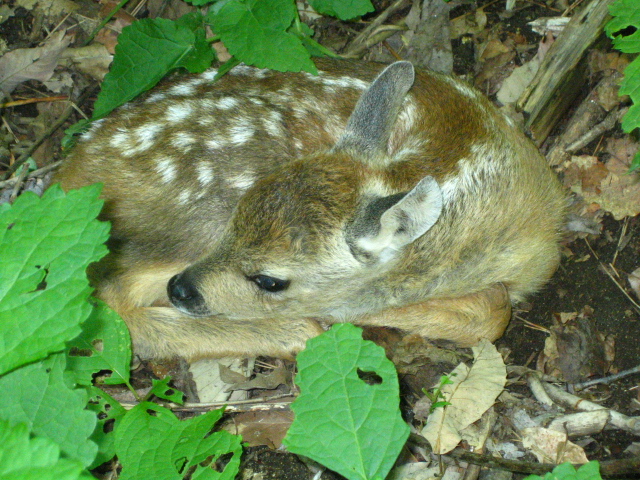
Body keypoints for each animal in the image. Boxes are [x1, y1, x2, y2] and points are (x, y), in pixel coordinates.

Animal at [56, 59, 564, 360]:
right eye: (239, 216)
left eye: (270, 280)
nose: (180, 290)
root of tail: (69, 179)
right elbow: (492, 309)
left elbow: (494, 308)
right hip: (194, 215)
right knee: (108, 303)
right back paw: (294, 331)